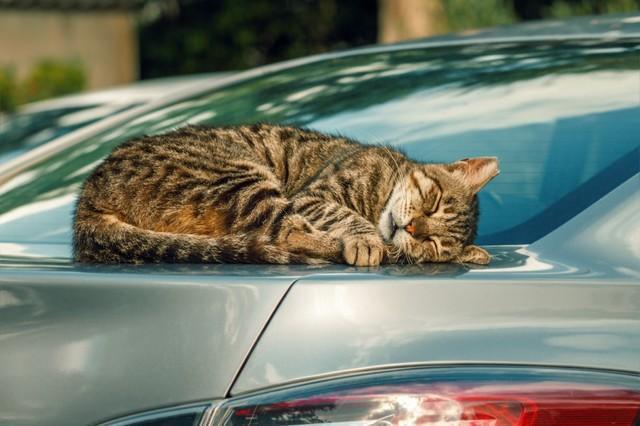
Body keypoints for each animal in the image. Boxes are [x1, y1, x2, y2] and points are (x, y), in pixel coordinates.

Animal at [72, 122, 498, 266]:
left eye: (434, 245)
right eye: (434, 202)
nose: (411, 230)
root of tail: (88, 198)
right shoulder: (316, 196)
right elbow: (348, 217)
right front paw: (367, 239)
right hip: (240, 176)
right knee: (289, 232)